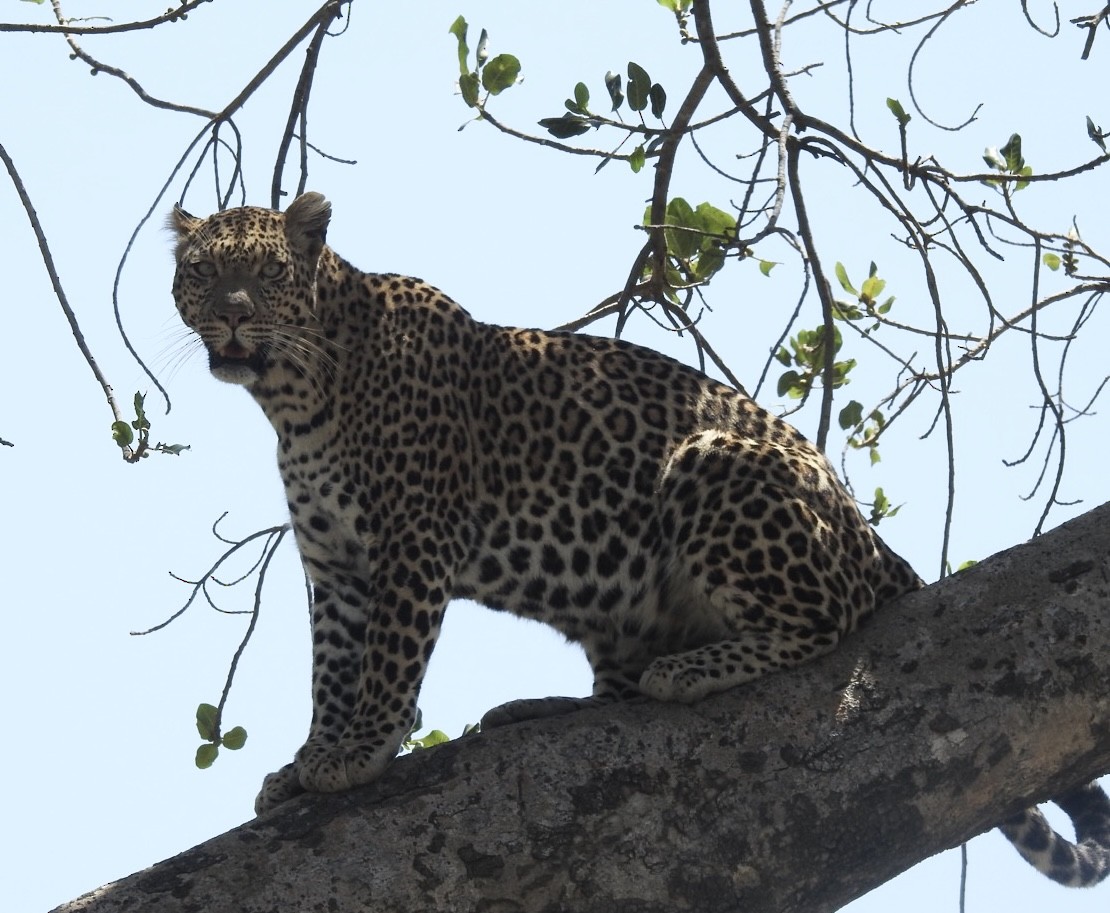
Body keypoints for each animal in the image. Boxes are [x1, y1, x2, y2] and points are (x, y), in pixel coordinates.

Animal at [171, 191, 1109, 887]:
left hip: (715, 463)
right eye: (204, 272)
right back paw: (539, 707)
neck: (296, 395)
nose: (233, 318)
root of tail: (873, 537)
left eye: (266, 271)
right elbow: (330, 667)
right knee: (616, 687)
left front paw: (361, 749)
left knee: (820, 622)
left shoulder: (412, 540)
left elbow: (388, 661)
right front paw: (307, 760)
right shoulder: (335, 564)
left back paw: (689, 671)